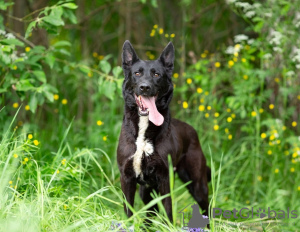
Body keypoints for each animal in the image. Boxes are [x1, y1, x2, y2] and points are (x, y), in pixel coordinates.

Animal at [116, 40, 210, 223]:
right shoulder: (127, 178)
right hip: (146, 191)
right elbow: (129, 212)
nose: (145, 87)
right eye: (137, 73)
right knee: (150, 214)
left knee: (207, 209)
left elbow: (168, 211)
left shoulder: (165, 177)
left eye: (156, 75)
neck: (144, 129)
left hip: (197, 184)